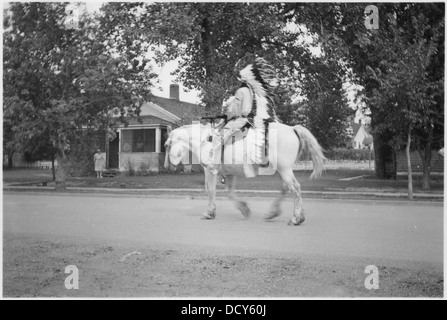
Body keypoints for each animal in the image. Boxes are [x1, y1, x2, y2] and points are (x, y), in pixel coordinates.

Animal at [164, 120, 326, 225]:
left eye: (166, 145)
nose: (167, 166)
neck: (205, 141)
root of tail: (292, 128)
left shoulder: (210, 171)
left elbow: (210, 191)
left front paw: (209, 213)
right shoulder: (230, 174)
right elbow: (230, 193)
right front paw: (244, 209)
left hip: (284, 169)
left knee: (295, 189)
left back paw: (296, 218)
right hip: (282, 170)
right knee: (286, 189)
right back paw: (275, 213)